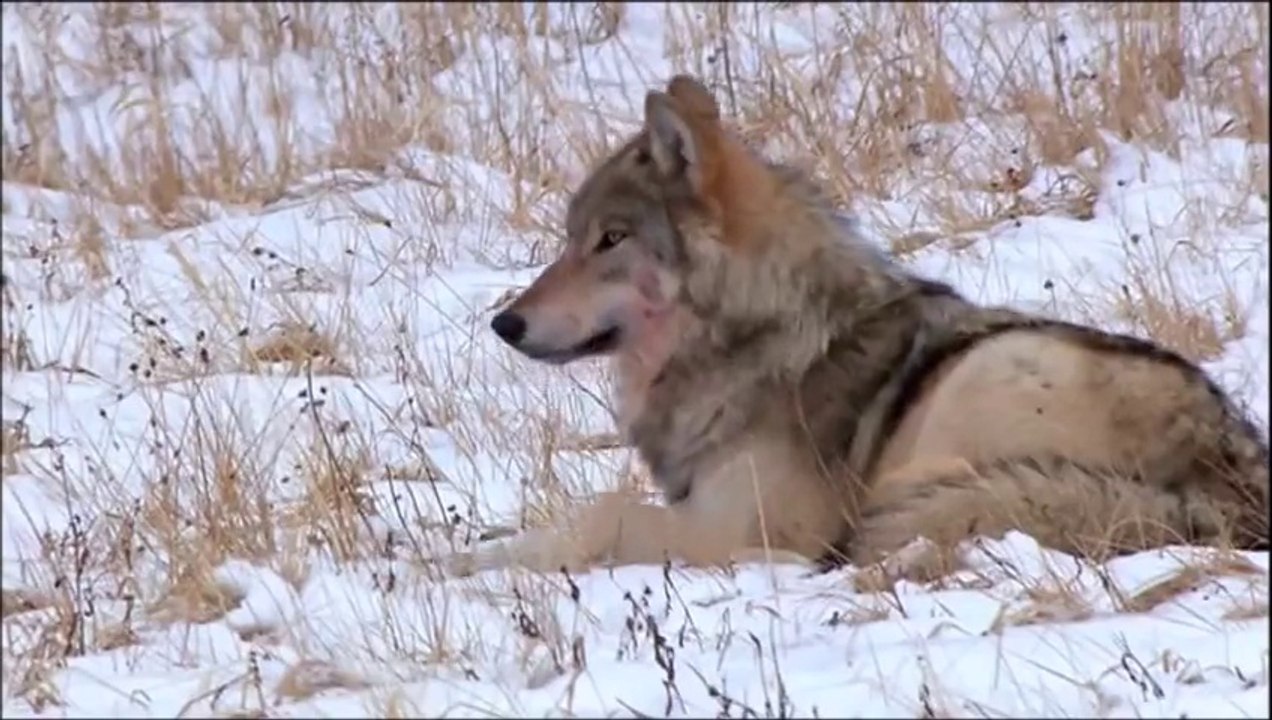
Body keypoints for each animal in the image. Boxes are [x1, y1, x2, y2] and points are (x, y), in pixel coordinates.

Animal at [447, 74, 1269, 577]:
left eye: (610, 240)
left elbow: (603, 514)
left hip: (977, 381)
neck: (752, 339)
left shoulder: (748, 530)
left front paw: (462, 565)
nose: (504, 323)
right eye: (571, 238)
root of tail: (1234, 491)